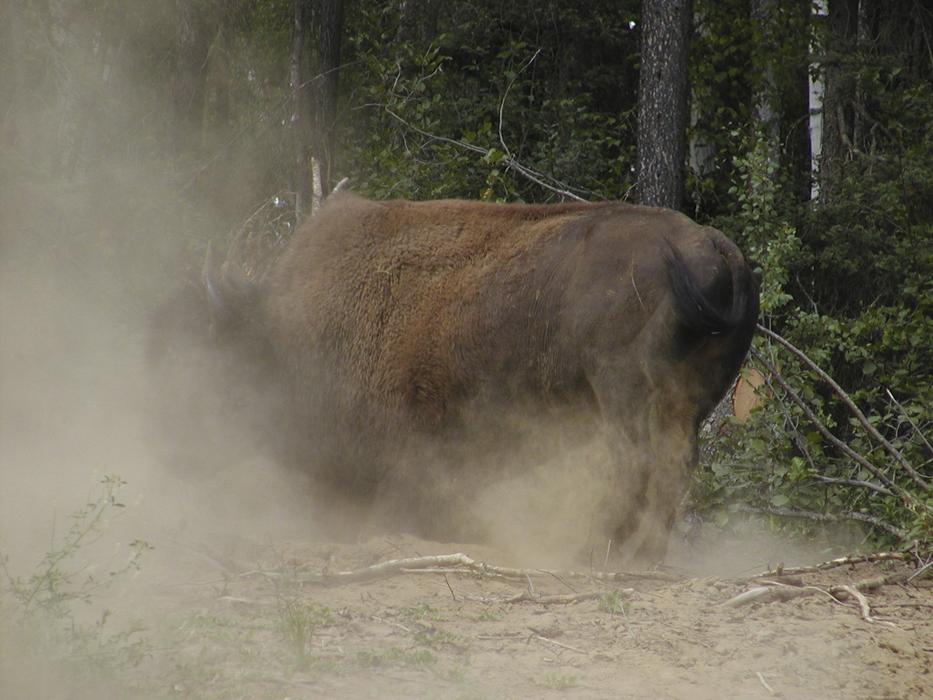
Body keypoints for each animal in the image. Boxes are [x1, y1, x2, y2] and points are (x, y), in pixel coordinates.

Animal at [185, 193, 758, 561]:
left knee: (636, 462)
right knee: (674, 466)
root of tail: (716, 249)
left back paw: (595, 550)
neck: (285, 331)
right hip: (688, 402)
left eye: (215, 356)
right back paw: (642, 553)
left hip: (621, 391)